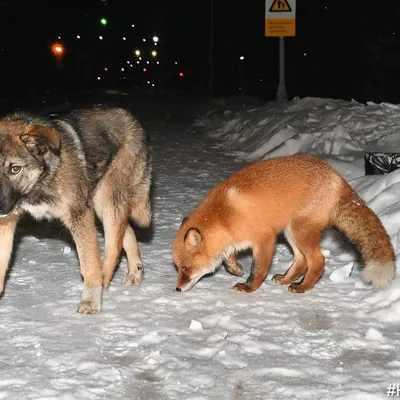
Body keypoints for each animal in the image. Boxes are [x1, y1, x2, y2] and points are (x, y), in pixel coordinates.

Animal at [173, 155, 396, 294]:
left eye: (185, 267)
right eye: (178, 268)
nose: (177, 288)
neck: (224, 215)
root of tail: (337, 177)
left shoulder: (264, 238)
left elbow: (258, 269)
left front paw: (249, 287)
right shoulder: (232, 238)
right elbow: (229, 257)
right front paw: (235, 269)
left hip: (299, 232)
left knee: (317, 261)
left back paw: (302, 287)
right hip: (291, 233)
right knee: (301, 260)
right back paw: (287, 280)